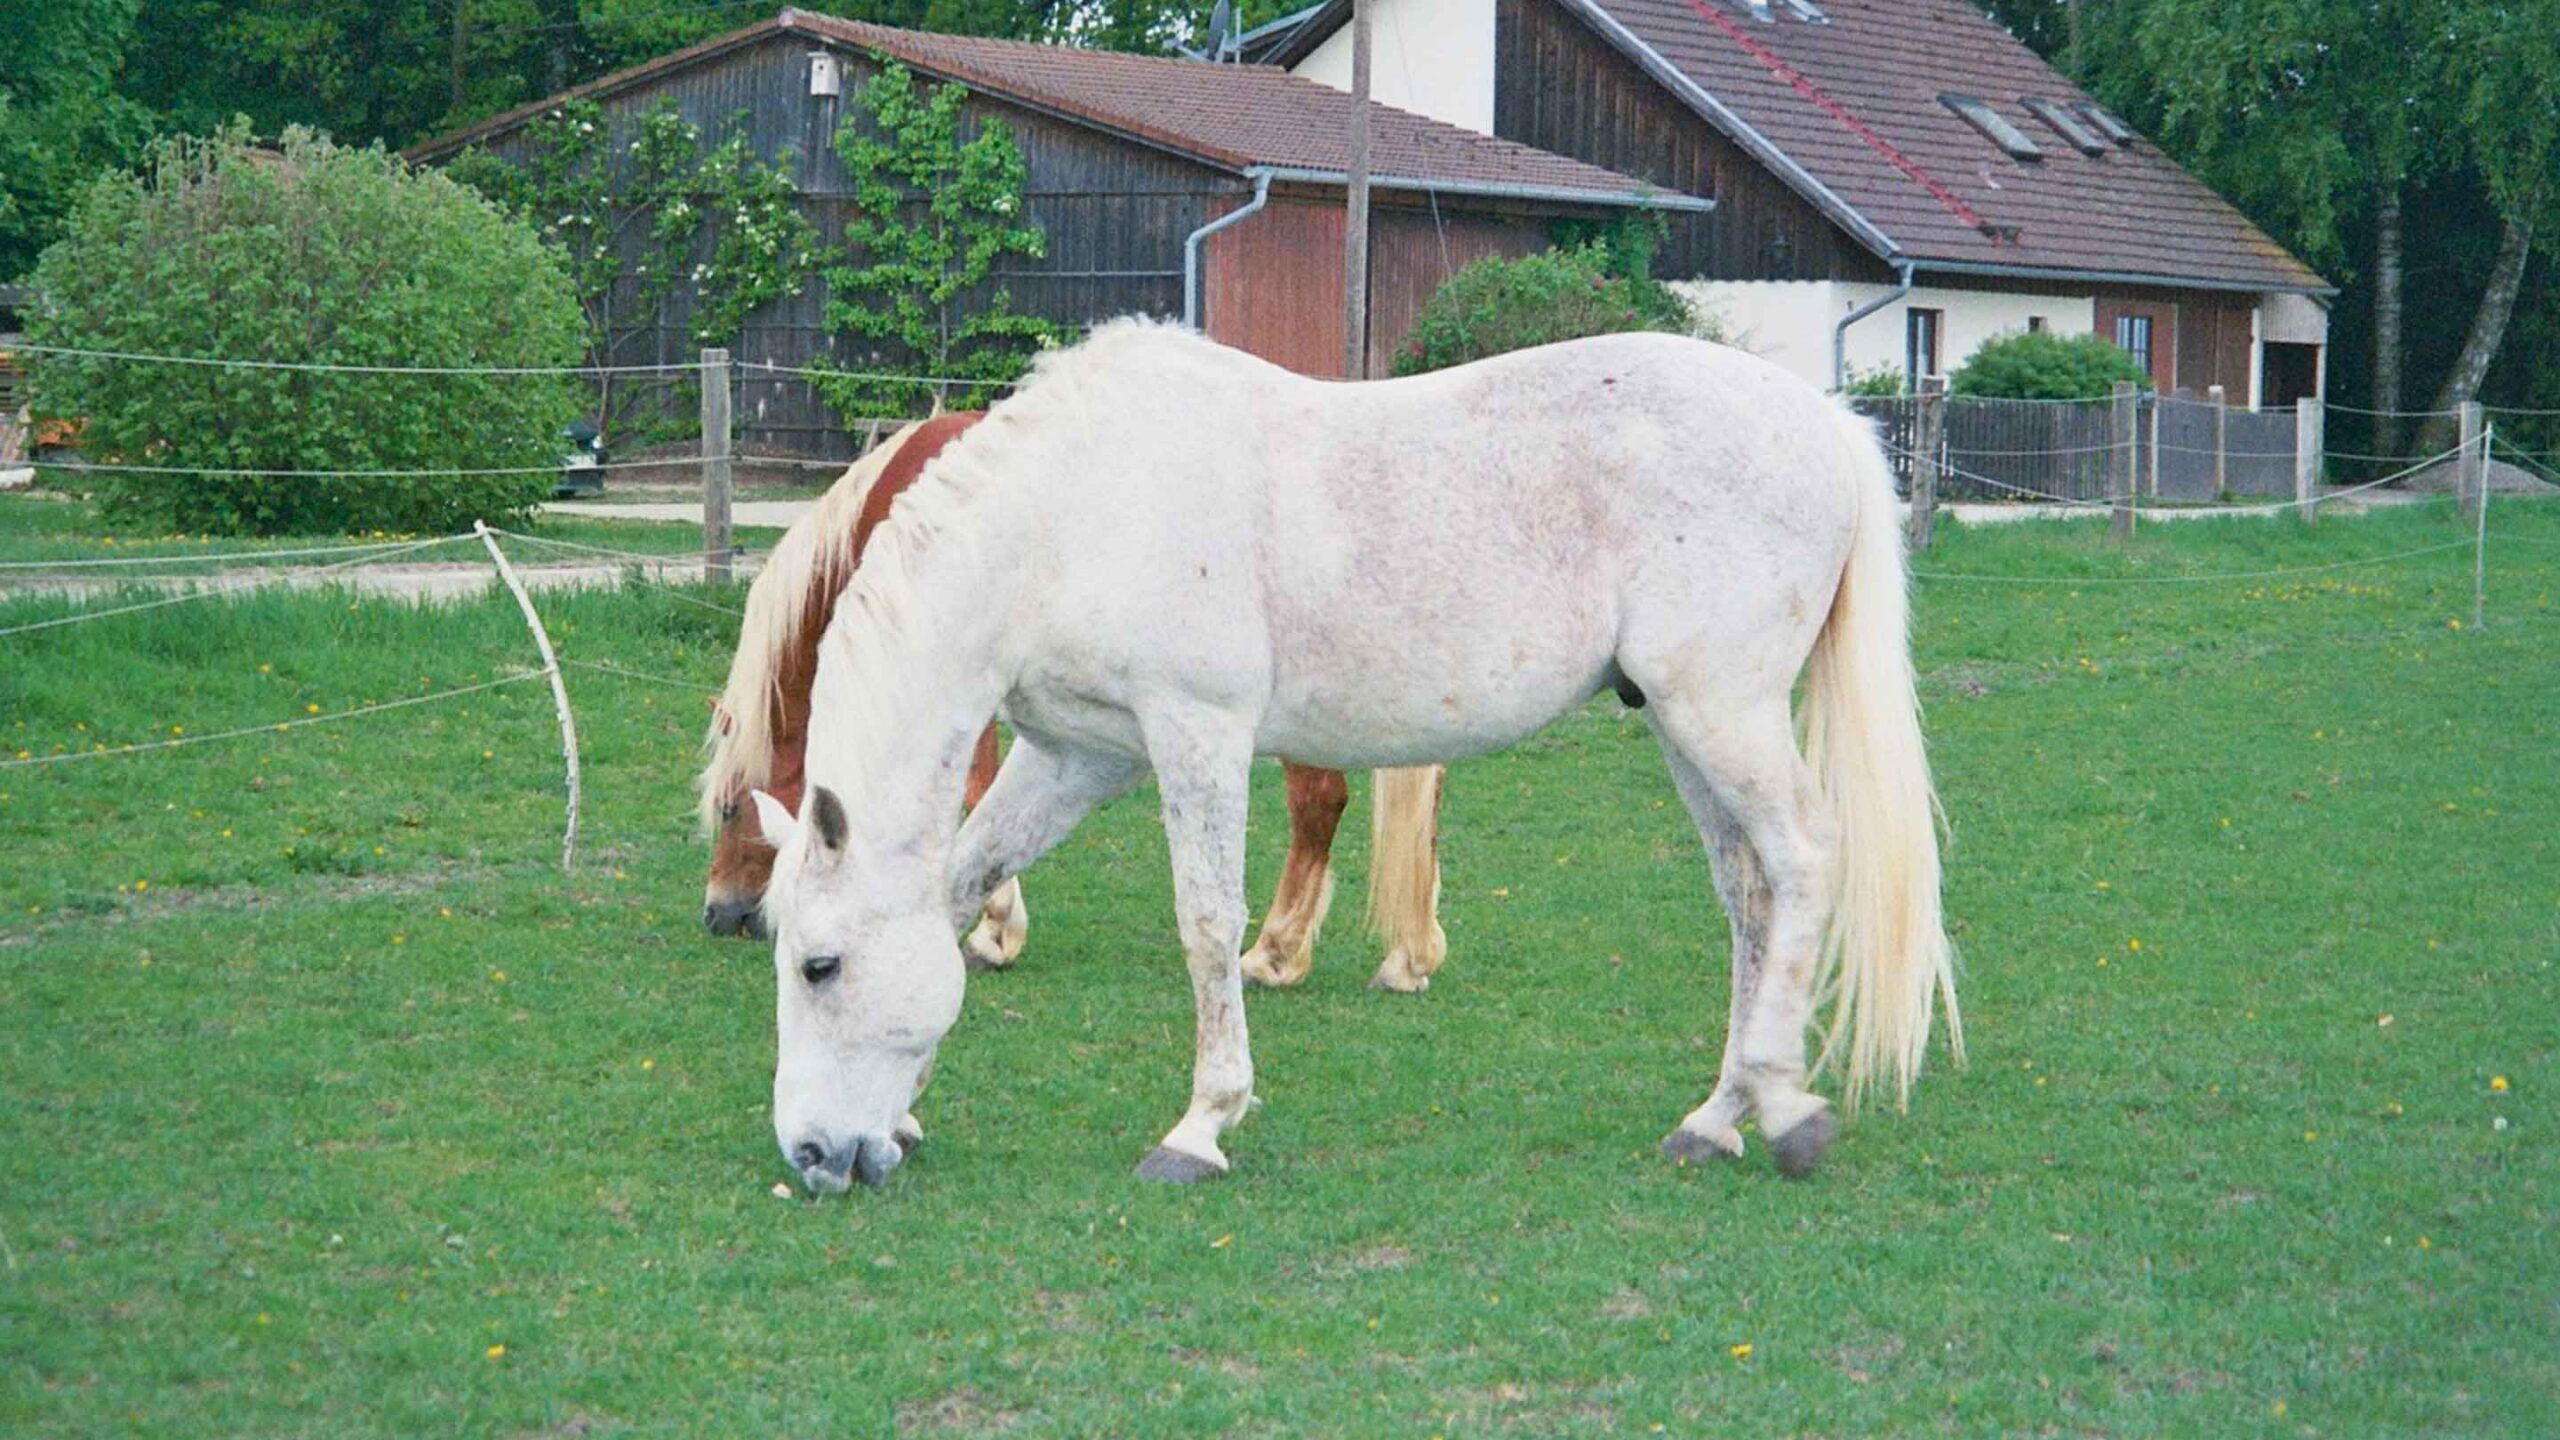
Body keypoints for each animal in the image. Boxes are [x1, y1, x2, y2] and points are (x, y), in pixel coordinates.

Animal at [697, 414, 1453, 990]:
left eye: (731, 808)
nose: (719, 915)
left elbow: (970, 793)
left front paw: (996, 931)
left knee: (1319, 801)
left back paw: (1274, 952)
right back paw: (1408, 955)